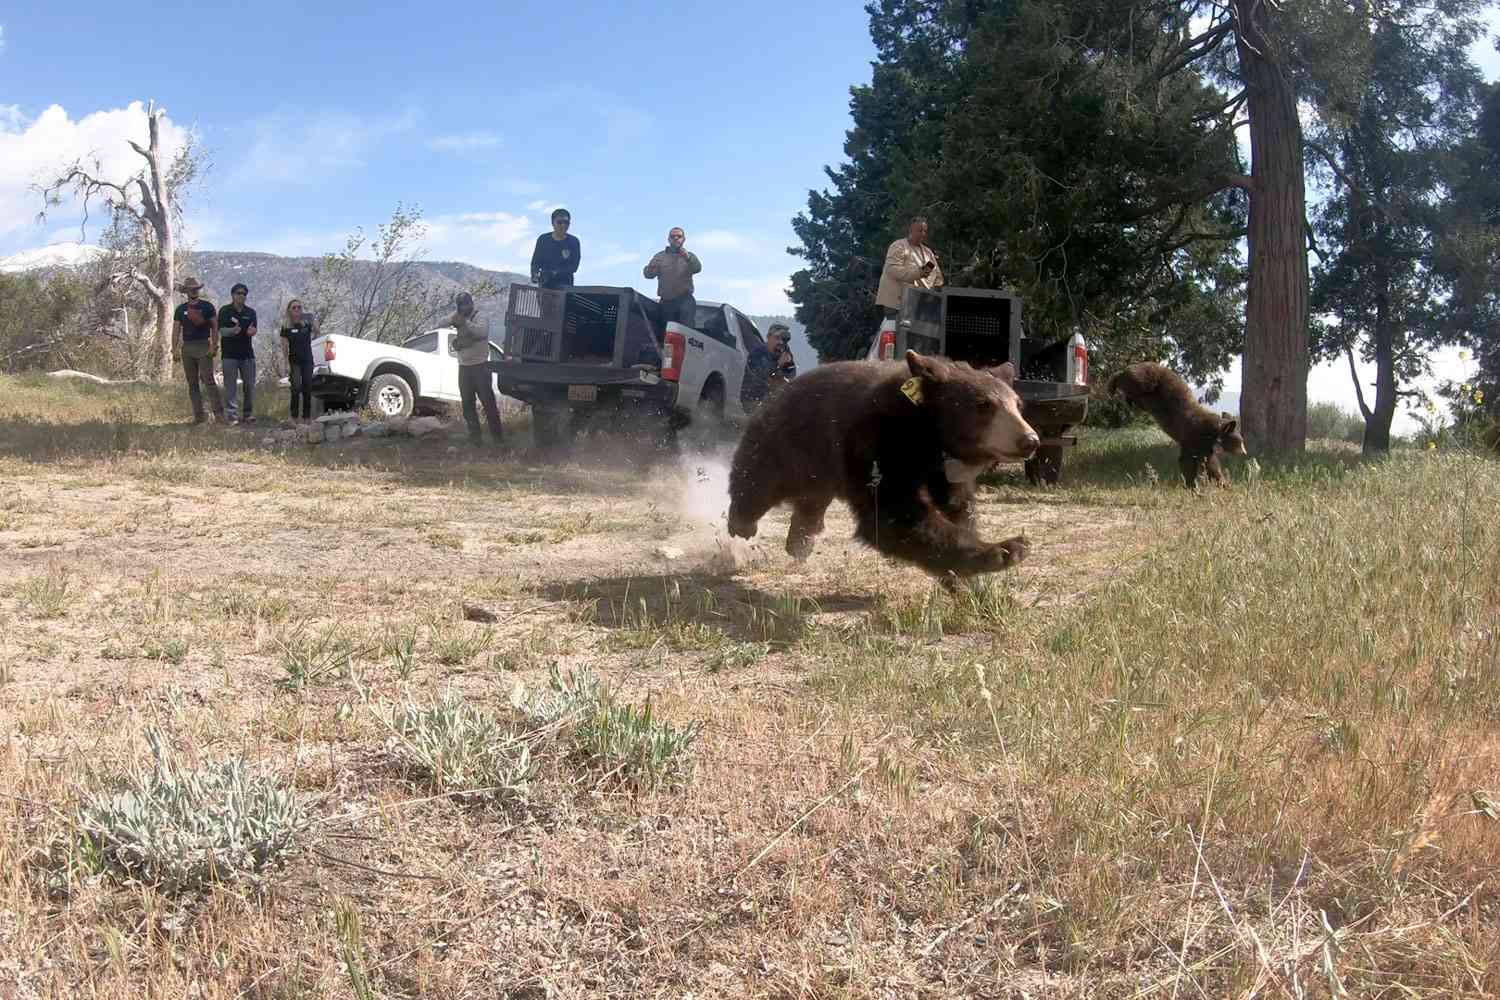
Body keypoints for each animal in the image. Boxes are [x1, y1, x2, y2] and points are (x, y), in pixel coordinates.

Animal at [729, 352, 1044, 581]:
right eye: (984, 405)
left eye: (1017, 404)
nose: (1029, 440)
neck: (928, 436)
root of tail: (778, 390)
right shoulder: (877, 443)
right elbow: (894, 513)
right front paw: (1006, 549)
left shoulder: (947, 472)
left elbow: (958, 507)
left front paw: (963, 579)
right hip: (786, 442)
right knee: (757, 481)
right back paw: (742, 524)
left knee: (811, 501)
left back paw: (800, 541)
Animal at [1110, 364, 1248, 488]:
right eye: (1239, 441)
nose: (1244, 453)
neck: (1212, 432)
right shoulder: (1195, 436)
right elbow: (1191, 461)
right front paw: (1194, 485)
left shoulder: (1204, 445)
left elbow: (1206, 462)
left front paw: (1222, 483)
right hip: (1147, 380)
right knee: (1132, 381)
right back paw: (1115, 384)